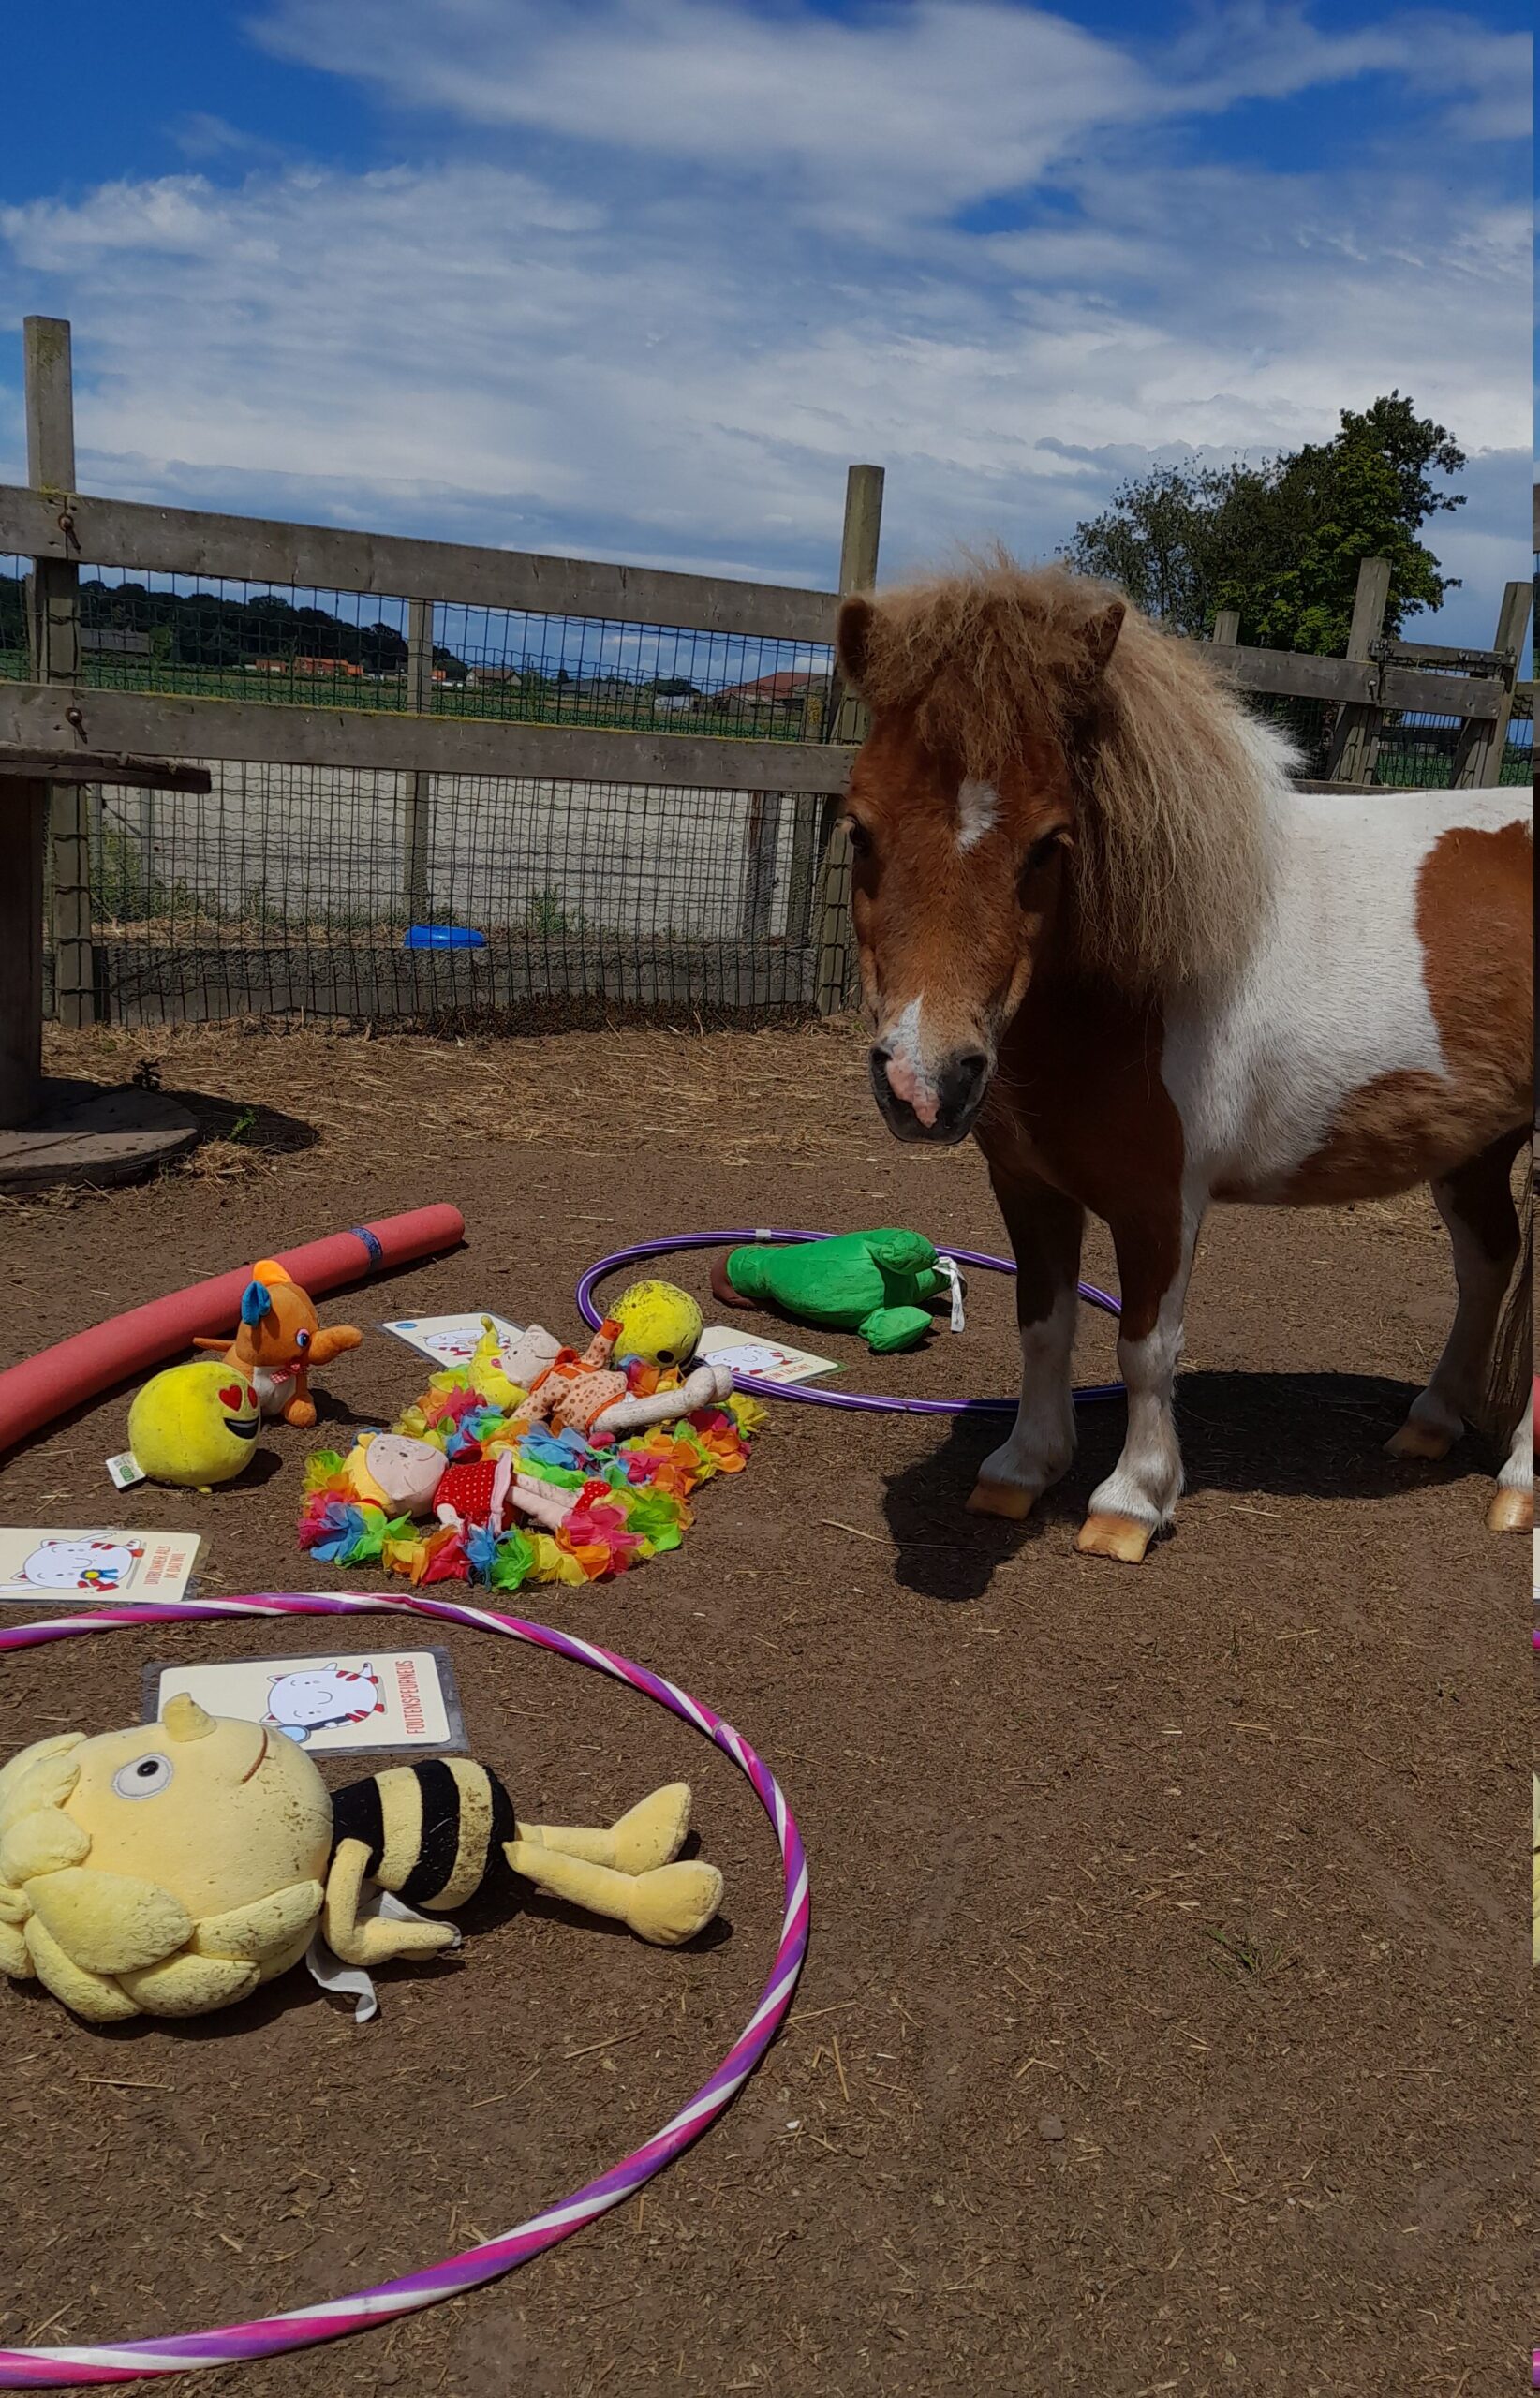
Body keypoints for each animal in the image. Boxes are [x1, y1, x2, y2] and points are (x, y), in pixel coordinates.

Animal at [835, 568, 1525, 1563]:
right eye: (859, 831)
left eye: (1049, 844)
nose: (925, 1085)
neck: (1132, 990)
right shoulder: (1027, 1187)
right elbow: (1043, 1326)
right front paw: (1023, 1468)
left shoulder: (1162, 1202)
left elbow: (1145, 1347)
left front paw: (1131, 1501)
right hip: (1477, 1151)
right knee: (1488, 1265)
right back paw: (1431, 1424)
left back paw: (1519, 1486)